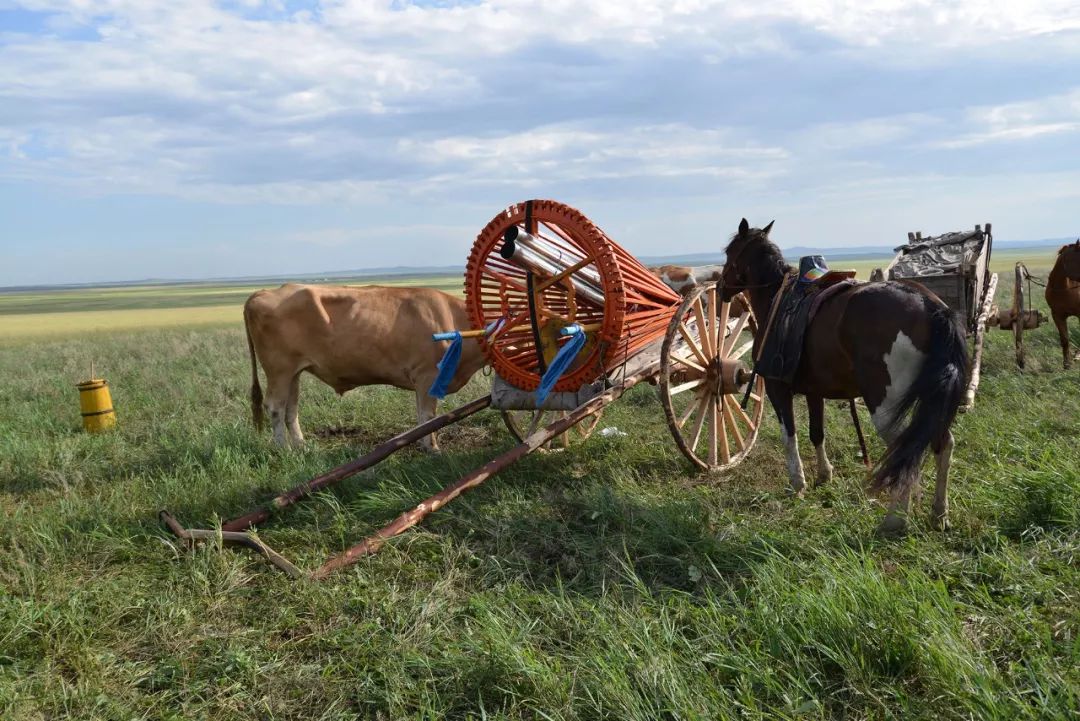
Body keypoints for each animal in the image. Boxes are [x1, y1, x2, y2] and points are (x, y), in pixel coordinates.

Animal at [245, 282, 486, 446]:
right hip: (279, 370)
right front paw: (432, 449)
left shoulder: (421, 381)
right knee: (275, 407)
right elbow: (428, 416)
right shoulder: (427, 375)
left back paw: (301, 447)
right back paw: (282, 449)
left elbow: (421, 415)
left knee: (290, 408)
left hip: (294, 372)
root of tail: (264, 292)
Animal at [721, 220, 967, 535]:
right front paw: (824, 475)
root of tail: (930, 305)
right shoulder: (814, 391)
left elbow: (789, 436)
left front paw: (797, 484)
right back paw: (939, 514)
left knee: (905, 450)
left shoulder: (778, 388)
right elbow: (817, 433)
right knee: (941, 443)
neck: (776, 299)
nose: (720, 287)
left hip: (885, 407)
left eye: (729, 252)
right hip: (931, 403)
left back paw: (895, 520)